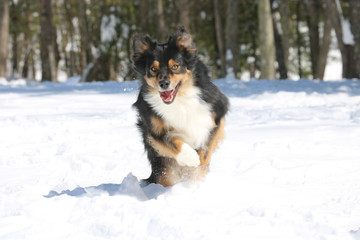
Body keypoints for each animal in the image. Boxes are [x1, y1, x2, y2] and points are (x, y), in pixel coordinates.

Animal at [131, 26, 228, 188]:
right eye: (153, 69)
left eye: (175, 66)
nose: (163, 84)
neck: (180, 99)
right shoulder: (153, 130)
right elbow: (172, 141)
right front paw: (191, 158)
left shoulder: (217, 113)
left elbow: (208, 143)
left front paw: (200, 160)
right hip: (164, 172)